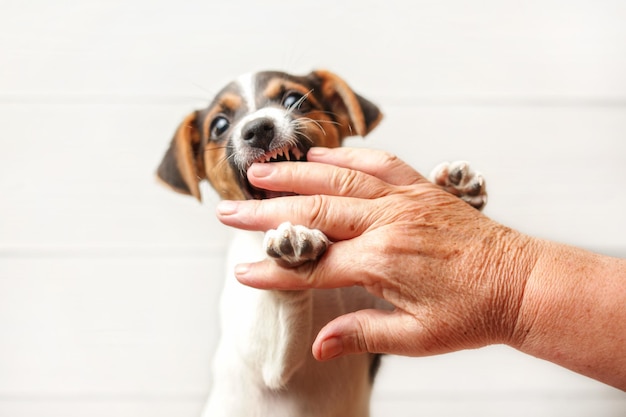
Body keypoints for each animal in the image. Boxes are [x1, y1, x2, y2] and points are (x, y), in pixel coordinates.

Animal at [157, 70, 488, 414]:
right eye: (220, 125)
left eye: (292, 99)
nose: (258, 128)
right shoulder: (266, 361)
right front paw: (291, 242)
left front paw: (452, 192)